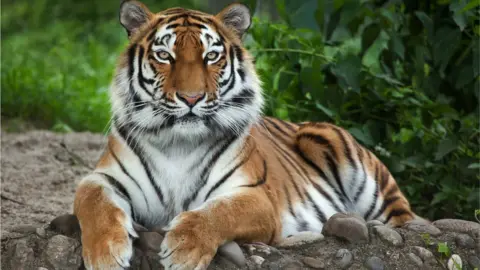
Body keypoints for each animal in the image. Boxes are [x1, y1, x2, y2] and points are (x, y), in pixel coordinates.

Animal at [73, 1, 422, 268]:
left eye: (211, 56)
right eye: (164, 56)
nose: (191, 98)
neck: (178, 143)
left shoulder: (254, 196)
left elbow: (217, 213)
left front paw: (184, 249)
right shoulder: (103, 178)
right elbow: (95, 204)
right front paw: (105, 255)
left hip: (337, 148)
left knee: (406, 219)